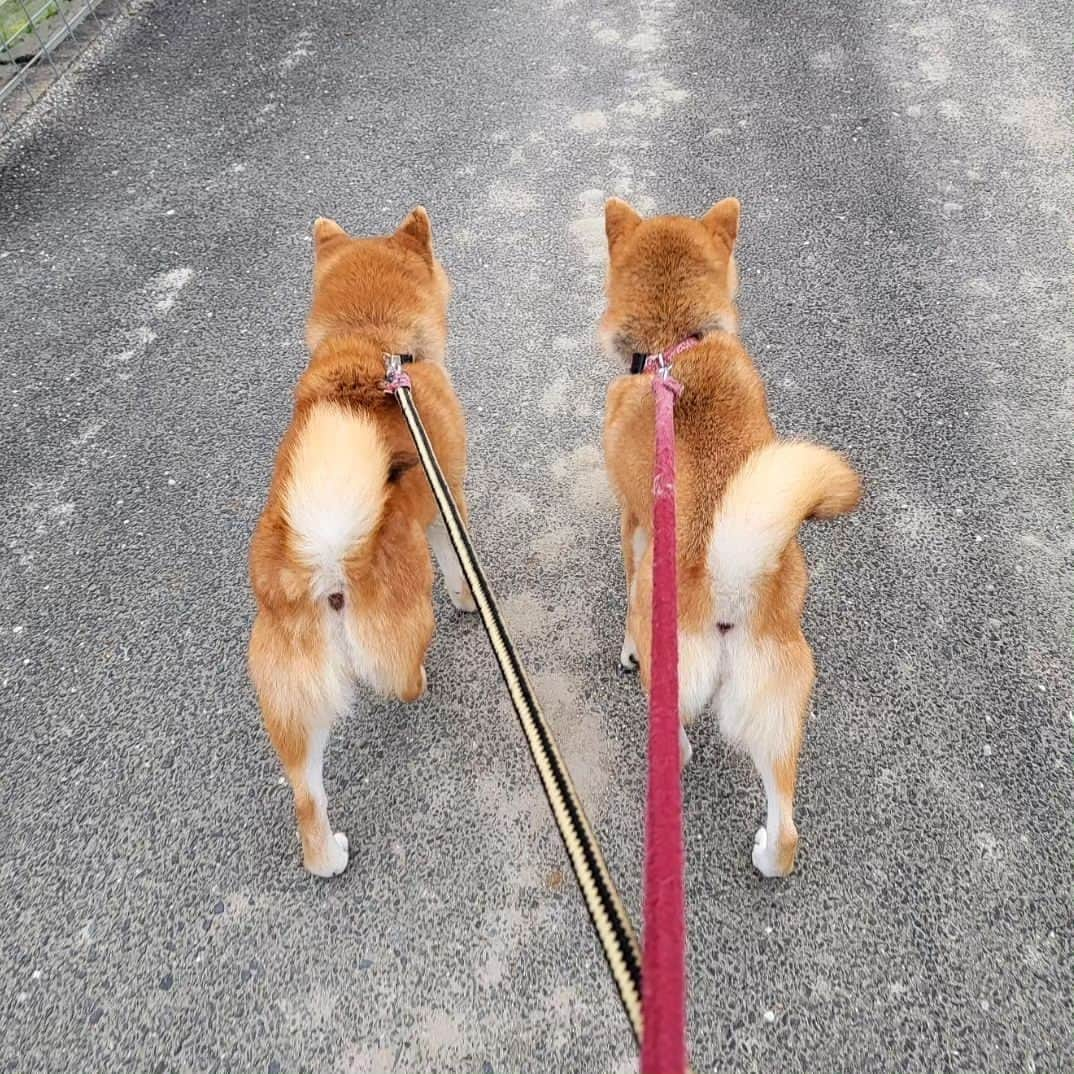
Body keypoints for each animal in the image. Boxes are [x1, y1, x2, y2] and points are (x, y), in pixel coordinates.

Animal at [251, 207, 474, 872]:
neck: (374, 342)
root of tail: (324, 565)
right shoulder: (446, 501)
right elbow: (458, 567)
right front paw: (470, 600)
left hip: (290, 702)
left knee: (306, 799)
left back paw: (327, 858)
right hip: (404, 621)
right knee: (401, 681)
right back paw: (422, 677)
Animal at [601, 197, 859, 876]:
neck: (675, 344)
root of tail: (729, 581)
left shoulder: (633, 522)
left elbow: (628, 573)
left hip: (675, 668)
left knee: (680, 745)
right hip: (779, 697)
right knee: (787, 825)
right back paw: (770, 853)